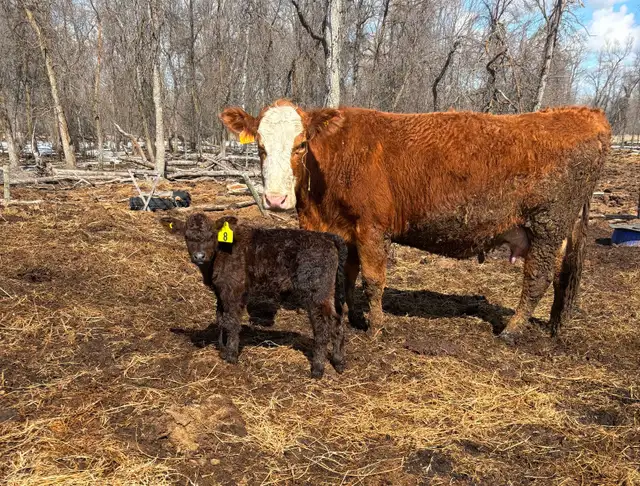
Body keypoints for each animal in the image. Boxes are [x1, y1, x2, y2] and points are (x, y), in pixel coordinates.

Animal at [160, 213, 348, 378]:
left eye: (212, 235)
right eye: (187, 236)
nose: (199, 256)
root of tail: (327, 237)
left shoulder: (234, 290)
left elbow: (232, 321)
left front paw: (231, 355)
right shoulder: (220, 292)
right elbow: (221, 318)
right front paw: (222, 350)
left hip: (316, 292)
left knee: (323, 327)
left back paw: (317, 369)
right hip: (330, 292)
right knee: (337, 321)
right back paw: (338, 362)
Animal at [219, 101, 610, 343]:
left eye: (301, 145)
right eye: (260, 146)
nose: (275, 199)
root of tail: (586, 114)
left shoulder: (372, 227)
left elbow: (373, 280)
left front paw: (375, 328)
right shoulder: (345, 230)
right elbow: (345, 277)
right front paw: (347, 316)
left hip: (547, 226)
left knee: (537, 279)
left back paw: (512, 331)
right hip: (557, 232)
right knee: (561, 275)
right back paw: (556, 325)